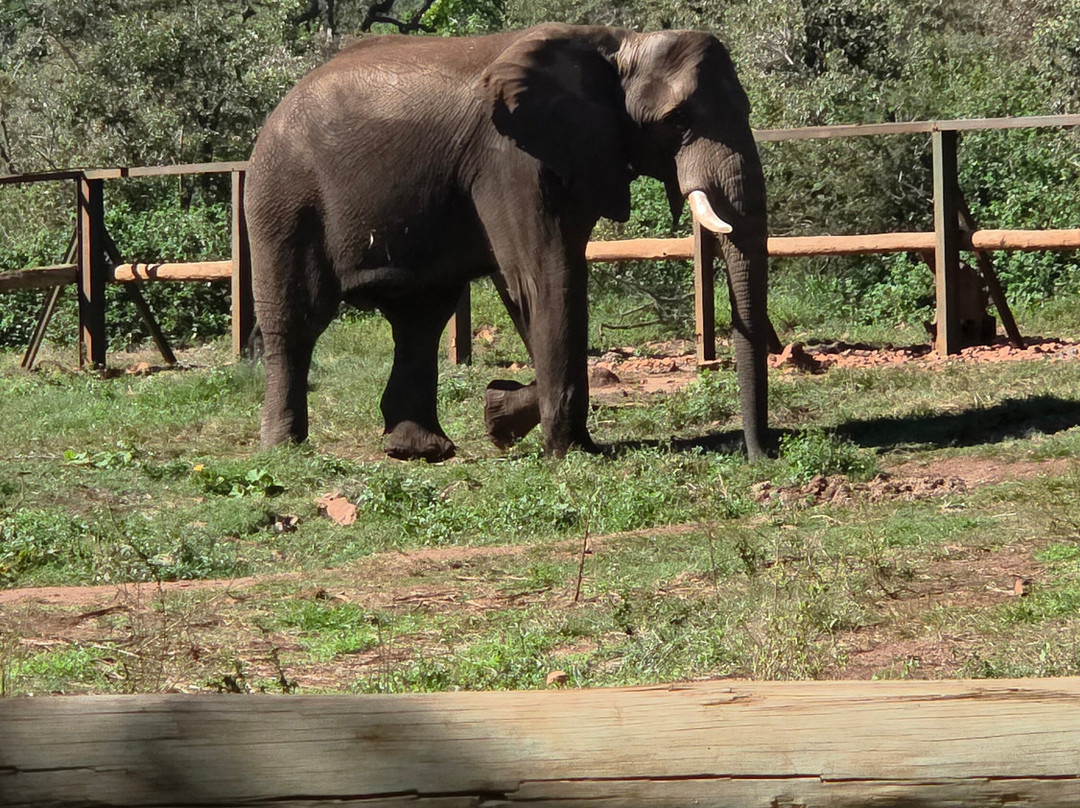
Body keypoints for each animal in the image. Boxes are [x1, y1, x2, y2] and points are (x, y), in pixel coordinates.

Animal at [245, 22, 770, 462]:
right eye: (678, 121)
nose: (761, 455)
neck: (621, 44)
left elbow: (547, 282)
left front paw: (501, 415)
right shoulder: (508, 158)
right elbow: (543, 277)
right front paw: (564, 451)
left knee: (420, 319)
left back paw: (419, 451)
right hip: (282, 195)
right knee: (298, 318)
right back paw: (285, 450)